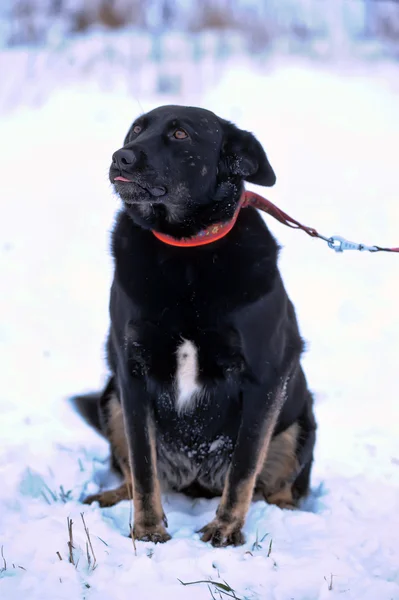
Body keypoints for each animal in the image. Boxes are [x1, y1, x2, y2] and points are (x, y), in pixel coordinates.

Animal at [71, 105, 316, 548]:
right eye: (136, 129)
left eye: (180, 134)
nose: (120, 157)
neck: (185, 247)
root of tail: (195, 481)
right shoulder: (132, 375)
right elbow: (143, 466)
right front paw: (148, 530)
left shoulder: (264, 378)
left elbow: (244, 469)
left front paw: (225, 529)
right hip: (111, 396)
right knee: (133, 473)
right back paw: (111, 495)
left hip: (299, 422)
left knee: (279, 487)